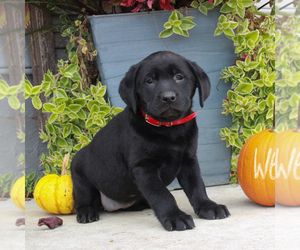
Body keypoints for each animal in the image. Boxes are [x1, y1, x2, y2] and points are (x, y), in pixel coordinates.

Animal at [71, 50, 231, 230]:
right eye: (149, 81)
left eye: (179, 77)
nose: (168, 97)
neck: (169, 129)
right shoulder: (144, 168)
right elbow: (162, 195)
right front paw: (175, 216)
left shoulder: (189, 160)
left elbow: (197, 186)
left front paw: (208, 206)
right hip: (81, 178)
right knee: (81, 200)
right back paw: (86, 212)